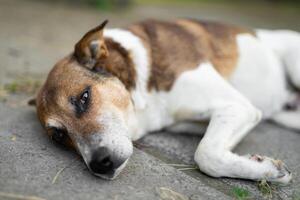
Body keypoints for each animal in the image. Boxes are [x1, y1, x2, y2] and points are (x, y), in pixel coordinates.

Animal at [31, 18, 300, 183]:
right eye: (58, 136)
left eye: (84, 97)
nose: (100, 164)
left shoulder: (237, 105)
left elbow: (206, 155)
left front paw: (269, 171)